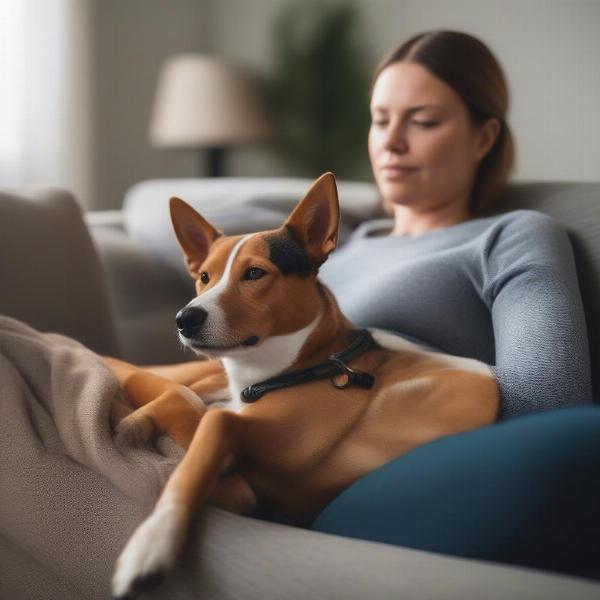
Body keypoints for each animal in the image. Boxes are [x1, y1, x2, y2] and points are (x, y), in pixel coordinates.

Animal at [106, 172, 496, 600]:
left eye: (254, 273)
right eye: (204, 277)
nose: (185, 319)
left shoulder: (248, 489)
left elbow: (200, 429)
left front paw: (151, 545)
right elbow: (173, 391)